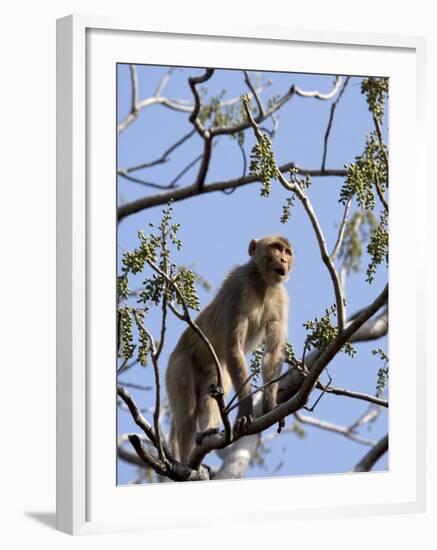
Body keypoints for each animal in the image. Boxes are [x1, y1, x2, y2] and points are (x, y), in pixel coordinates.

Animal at [165, 235, 294, 464]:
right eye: (276, 248)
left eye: (287, 252)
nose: (284, 260)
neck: (263, 284)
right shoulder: (238, 285)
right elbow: (234, 347)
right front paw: (245, 409)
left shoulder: (281, 299)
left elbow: (273, 353)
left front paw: (271, 405)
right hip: (178, 364)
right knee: (187, 411)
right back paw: (187, 462)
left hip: (217, 370)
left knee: (210, 396)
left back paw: (208, 431)